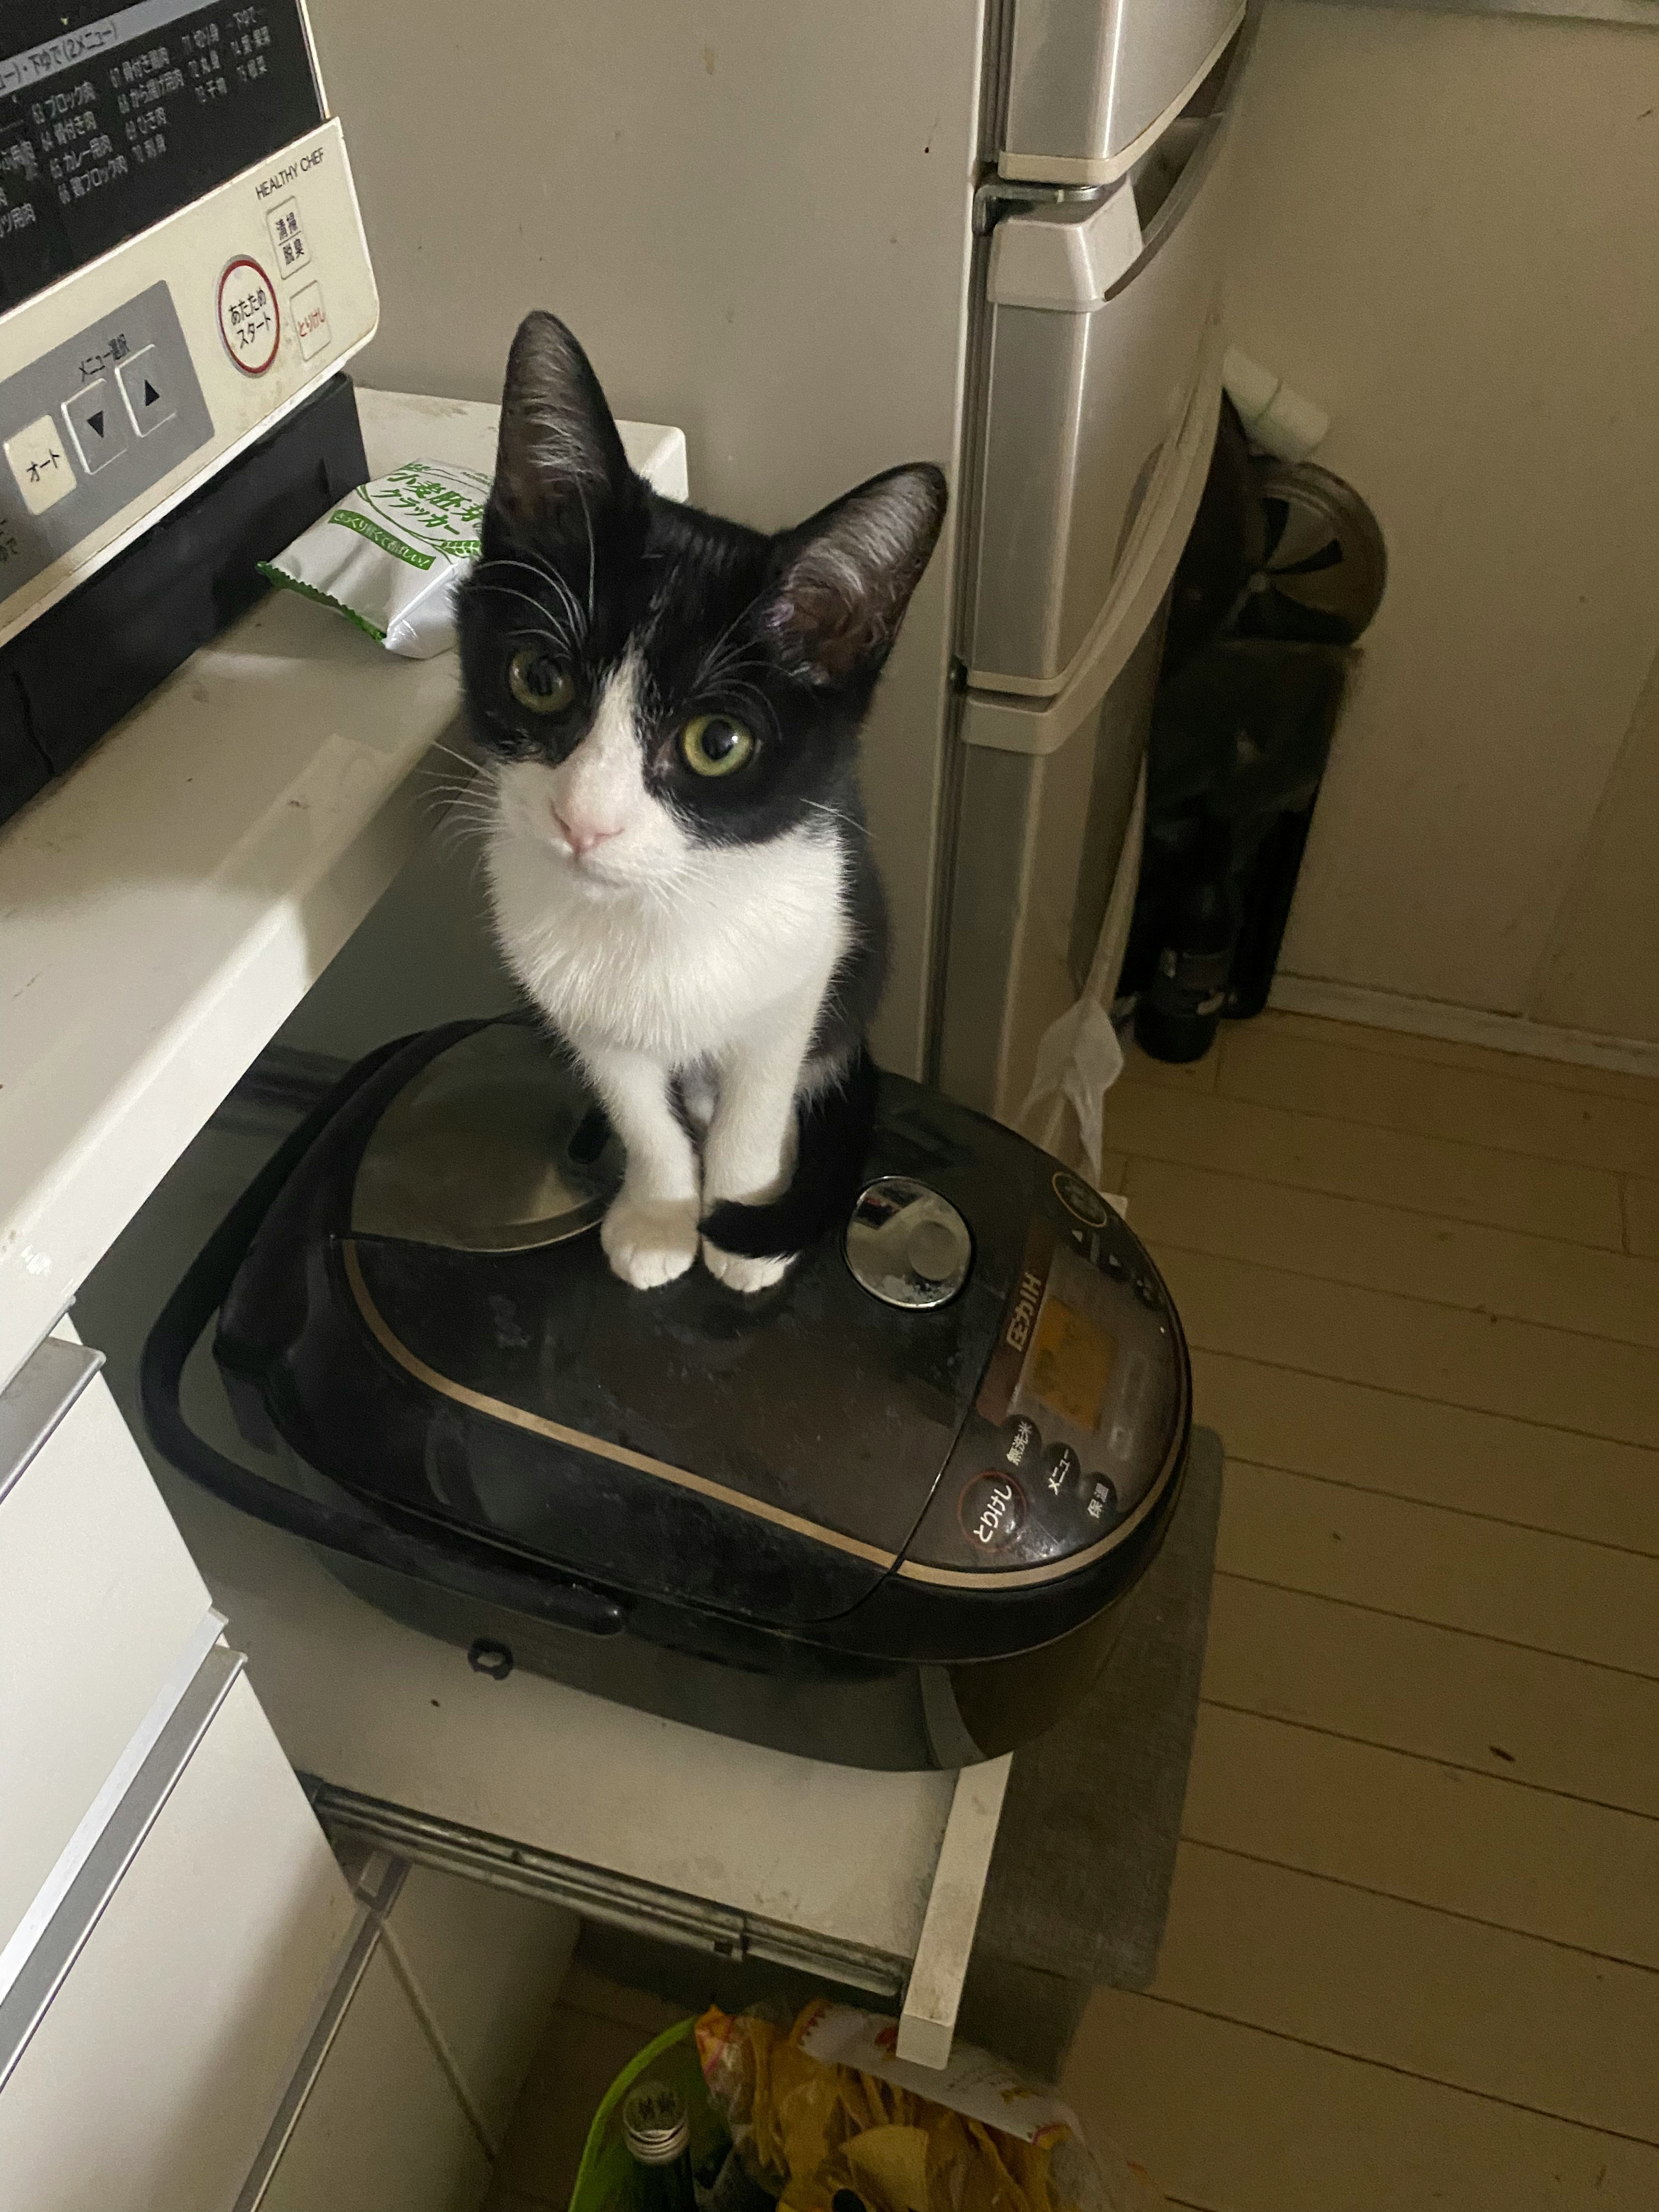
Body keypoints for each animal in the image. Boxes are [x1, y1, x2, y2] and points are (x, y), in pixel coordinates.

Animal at [455, 321, 947, 1300]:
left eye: (717, 742)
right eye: (540, 678)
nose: (584, 820)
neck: (658, 908)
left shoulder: (805, 957)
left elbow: (758, 1093)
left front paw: (745, 1210)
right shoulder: (577, 1005)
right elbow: (640, 1108)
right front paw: (659, 1215)